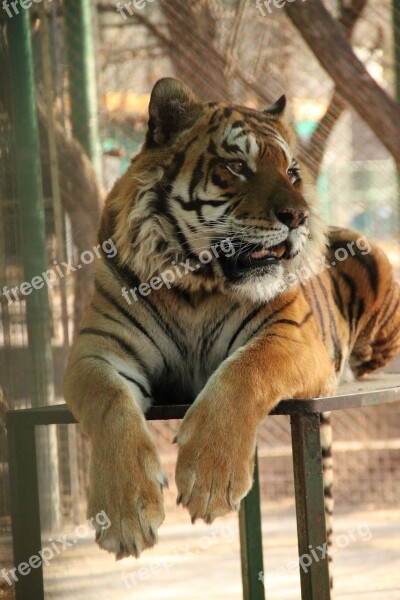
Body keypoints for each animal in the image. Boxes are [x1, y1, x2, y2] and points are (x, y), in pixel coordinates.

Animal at [63, 77, 400, 560]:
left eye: (292, 172)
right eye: (238, 166)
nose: (299, 215)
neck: (196, 286)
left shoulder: (291, 335)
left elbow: (246, 371)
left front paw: (209, 477)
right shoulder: (97, 351)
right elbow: (108, 404)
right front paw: (124, 512)